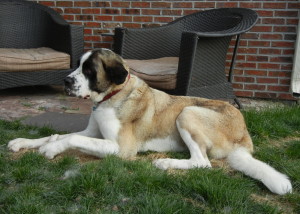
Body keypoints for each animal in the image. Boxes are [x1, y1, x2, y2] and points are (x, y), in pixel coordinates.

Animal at [7, 48, 292, 196]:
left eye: (89, 70)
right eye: (78, 65)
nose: (66, 81)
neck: (113, 94)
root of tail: (244, 135)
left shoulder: (121, 148)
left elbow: (71, 138)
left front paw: (51, 149)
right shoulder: (93, 132)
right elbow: (58, 135)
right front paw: (23, 142)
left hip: (187, 112)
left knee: (203, 163)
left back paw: (165, 163)